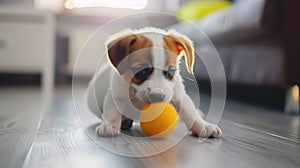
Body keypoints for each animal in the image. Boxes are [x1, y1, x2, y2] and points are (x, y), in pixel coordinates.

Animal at [85, 27, 221, 137]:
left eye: (170, 73)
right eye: (141, 72)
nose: (158, 97)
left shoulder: (178, 96)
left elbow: (190, 112)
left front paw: (203, 126)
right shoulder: (116, 96)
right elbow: (112, 112)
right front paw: (109, 125)